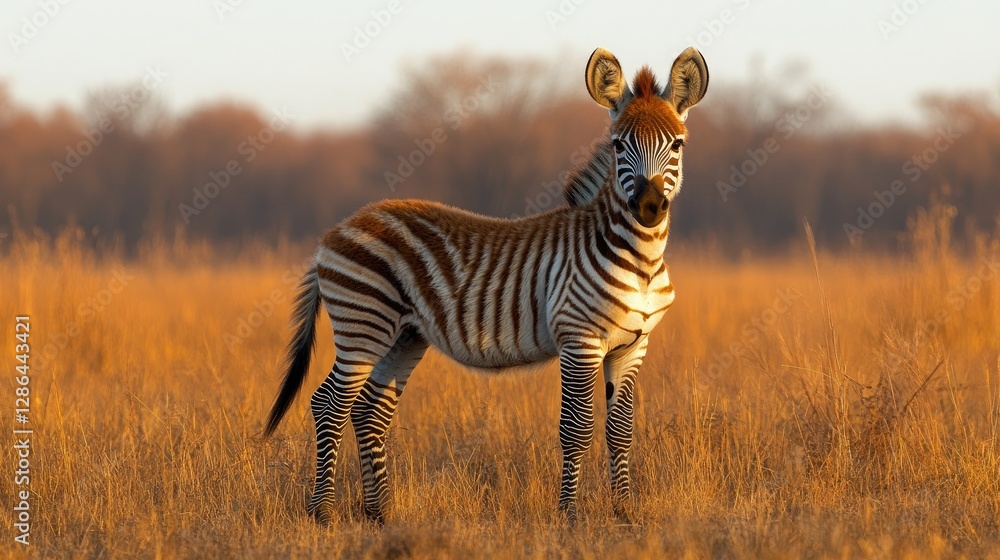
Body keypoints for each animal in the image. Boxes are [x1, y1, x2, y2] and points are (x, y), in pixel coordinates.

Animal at [263, 46, 709, 524]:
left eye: (678, 144)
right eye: (618, 145)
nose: (649, 206)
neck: (640, 261)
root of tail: (337, 229)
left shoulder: (633, 345)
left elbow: (621, 429)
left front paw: (624, 511)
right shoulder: (579, 339)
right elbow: (577, 428)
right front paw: (569, 515)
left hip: (404, 336)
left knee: (368, 411)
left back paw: (378, 513)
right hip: (362, 325)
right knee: (329, 404)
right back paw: (322, 512)